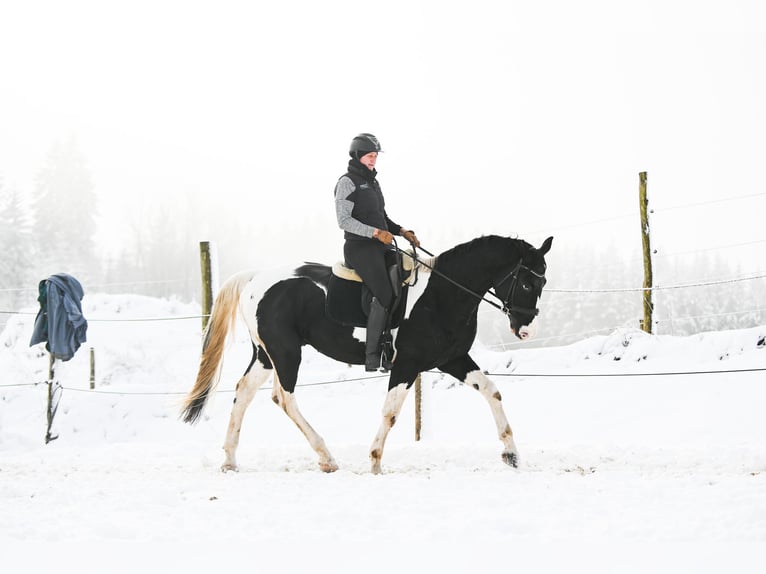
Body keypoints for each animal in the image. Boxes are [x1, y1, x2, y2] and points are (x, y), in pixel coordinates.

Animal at [180, 235, 552, 476]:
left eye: (543, 282)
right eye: (527, 283)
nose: (526, 330)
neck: (441, 294)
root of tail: (255, 278)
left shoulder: (453, 359)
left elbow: (492, 391)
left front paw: (511, 454)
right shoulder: (407, 363)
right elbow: (390, 412)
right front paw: (374, 460)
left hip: (265, 355)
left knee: (243, 392)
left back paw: (230, 460)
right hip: (285, 352)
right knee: (283, 398)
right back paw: (326, 457)